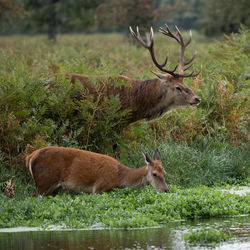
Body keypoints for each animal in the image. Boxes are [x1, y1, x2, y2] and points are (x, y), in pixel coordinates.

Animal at [25, 146, 170, 195]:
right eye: (154, 174)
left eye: (165, 173)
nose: (166, 190)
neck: (120, 177)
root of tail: (30, 157)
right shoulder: (100, 188)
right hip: (44, 182)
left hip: (53, 188)